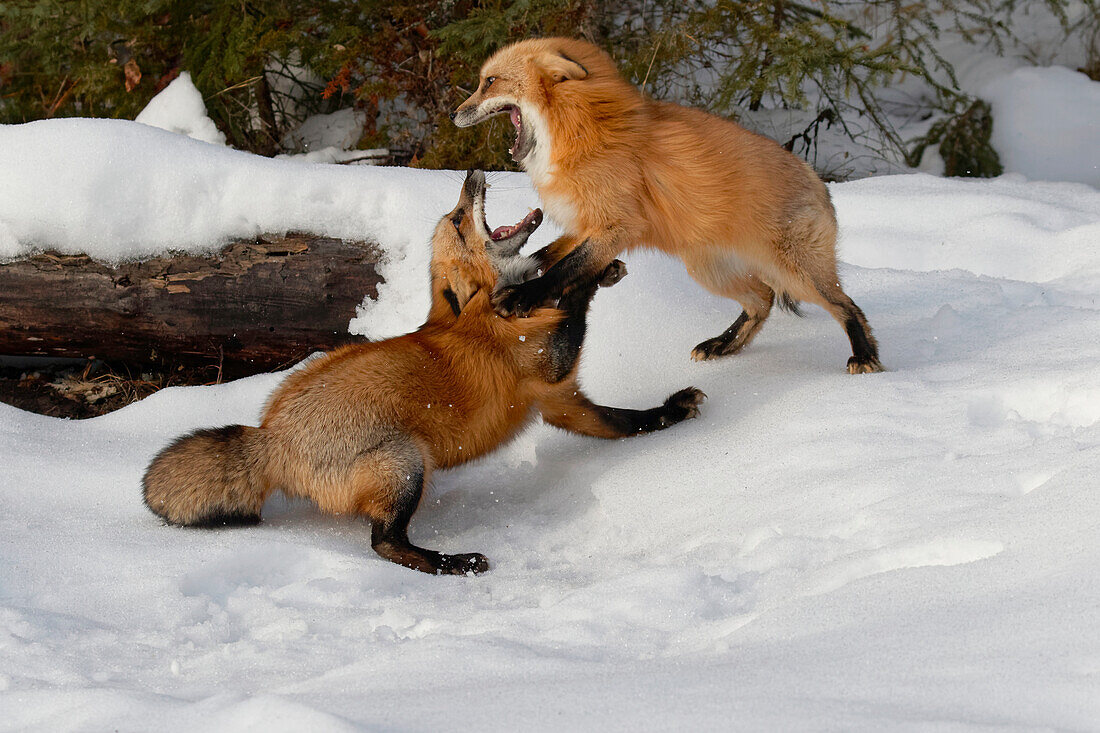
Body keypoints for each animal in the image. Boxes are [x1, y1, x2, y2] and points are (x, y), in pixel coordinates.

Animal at [144, 169, 704, 572]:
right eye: (458, 219)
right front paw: (583, 273)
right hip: (405, 463)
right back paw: (451, 562)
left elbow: (625, 420)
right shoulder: (550, 374)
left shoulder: (561, 401)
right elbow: (570, 303)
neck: (482, 310)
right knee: (384, 543)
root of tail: (270, 435)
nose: (472, 174)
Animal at [451, 37, 880, 374]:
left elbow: (564, 269)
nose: (453, 113)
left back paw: (865, 355)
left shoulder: (616, 226)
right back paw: (723, 345)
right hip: (709, 271)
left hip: (795, 273)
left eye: (489, 82)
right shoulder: (586, 225)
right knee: (763, 301)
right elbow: (549, 255)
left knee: (846, 306)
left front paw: (523, 295)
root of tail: (817, 180)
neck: (582, 129)